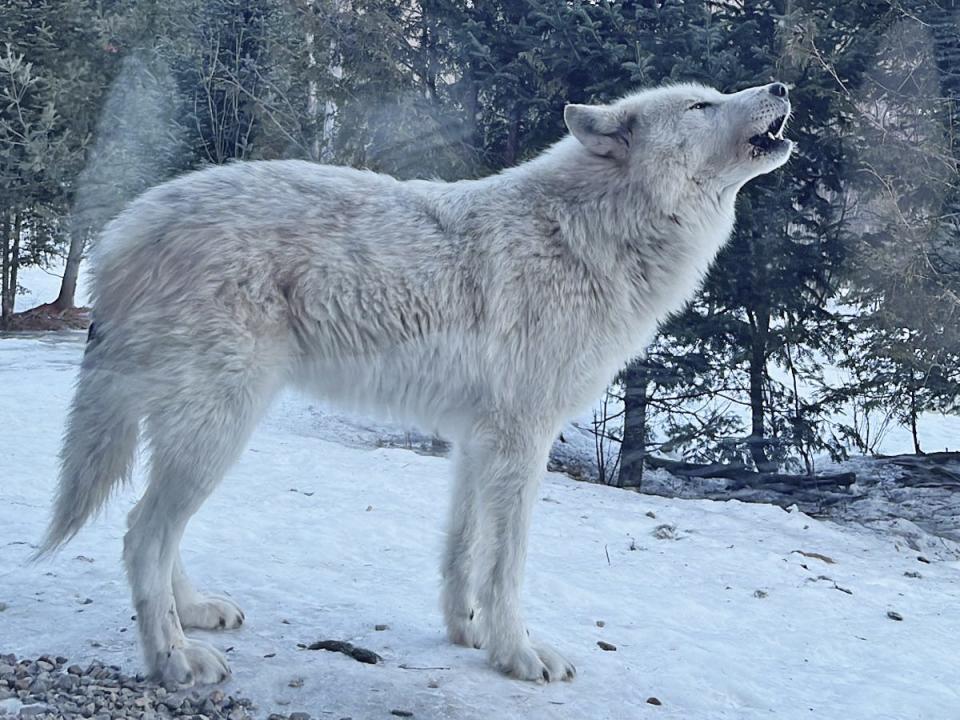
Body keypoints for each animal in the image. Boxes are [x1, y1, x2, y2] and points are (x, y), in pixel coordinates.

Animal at [37, 81, 792, 684]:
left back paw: (194, 612)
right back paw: (174, 659)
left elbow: (462, 551)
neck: (589, 235)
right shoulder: (523, 441)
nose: (782, 85)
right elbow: (507, 565)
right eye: (701, 105)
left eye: (716, 94)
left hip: (199, 432)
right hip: (219, 429)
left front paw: (468, 634)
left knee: (155, 532)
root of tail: (123, 229)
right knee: (141, 535)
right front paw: (518, 656)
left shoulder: (475, 441)